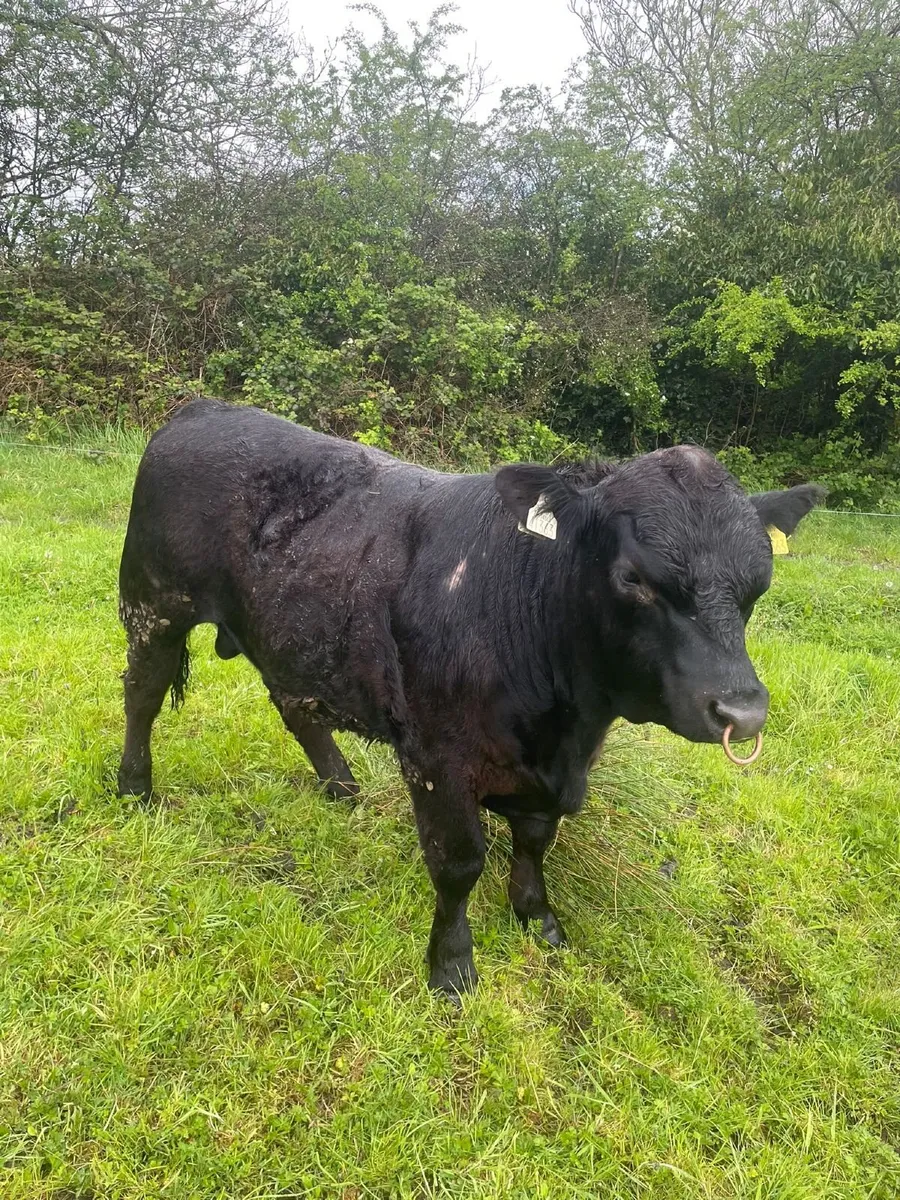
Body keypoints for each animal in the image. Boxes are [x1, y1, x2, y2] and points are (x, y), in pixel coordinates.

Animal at [117, 398, 778, 999]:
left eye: (758, 586)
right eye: (633, 578)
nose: (742, 713)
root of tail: (200, 410)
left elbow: (535, 841)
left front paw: (538, 917)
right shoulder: (436, 758)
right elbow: (458, 863)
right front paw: (453, 967)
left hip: (290, 635)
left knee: (295, 708)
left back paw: (341, 787)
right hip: (152, 605)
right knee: (142, 696)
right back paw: (134, 789)